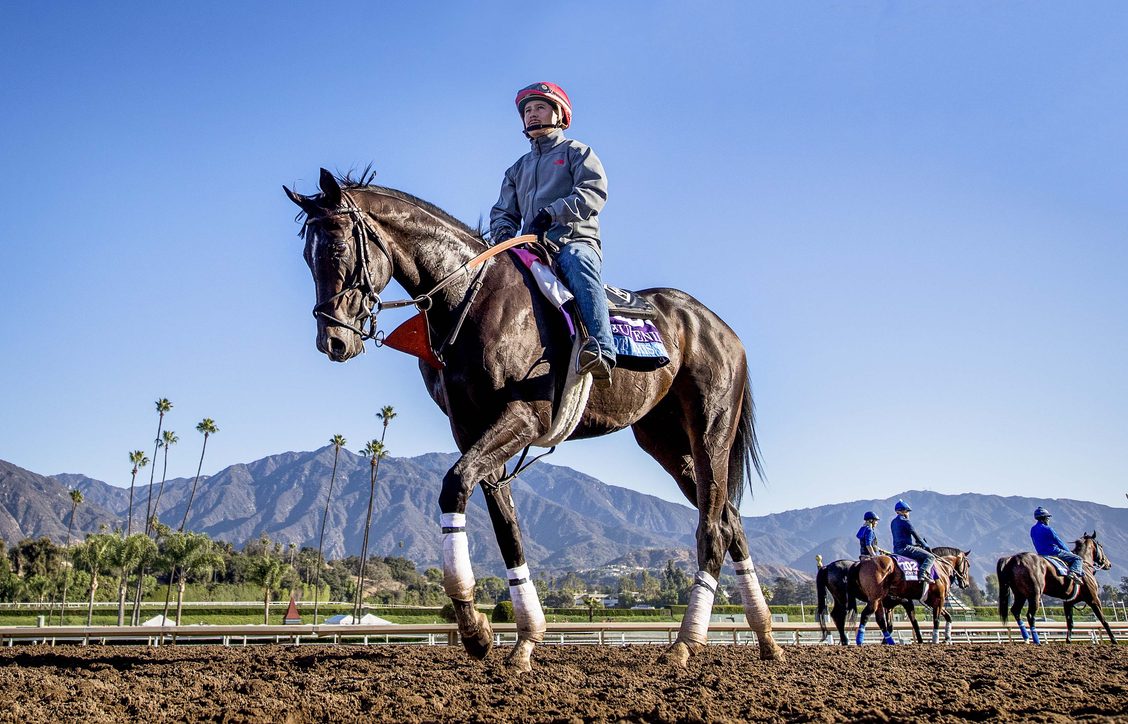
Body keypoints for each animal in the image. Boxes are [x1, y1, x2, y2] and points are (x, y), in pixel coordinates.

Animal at [286, 170, 780, 672]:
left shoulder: (523, 417)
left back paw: (685, 642)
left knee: (713, 528)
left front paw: (475, 629)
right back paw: (766, 638)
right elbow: (507, 528)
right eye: (308, 257)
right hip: (664, 441)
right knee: (730, 519)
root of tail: (722, 329)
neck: (470, 297)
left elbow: (455, 485)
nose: (332, 341)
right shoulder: (471, 429)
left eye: (337, 250)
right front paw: (520, 639)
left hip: (710, 430)